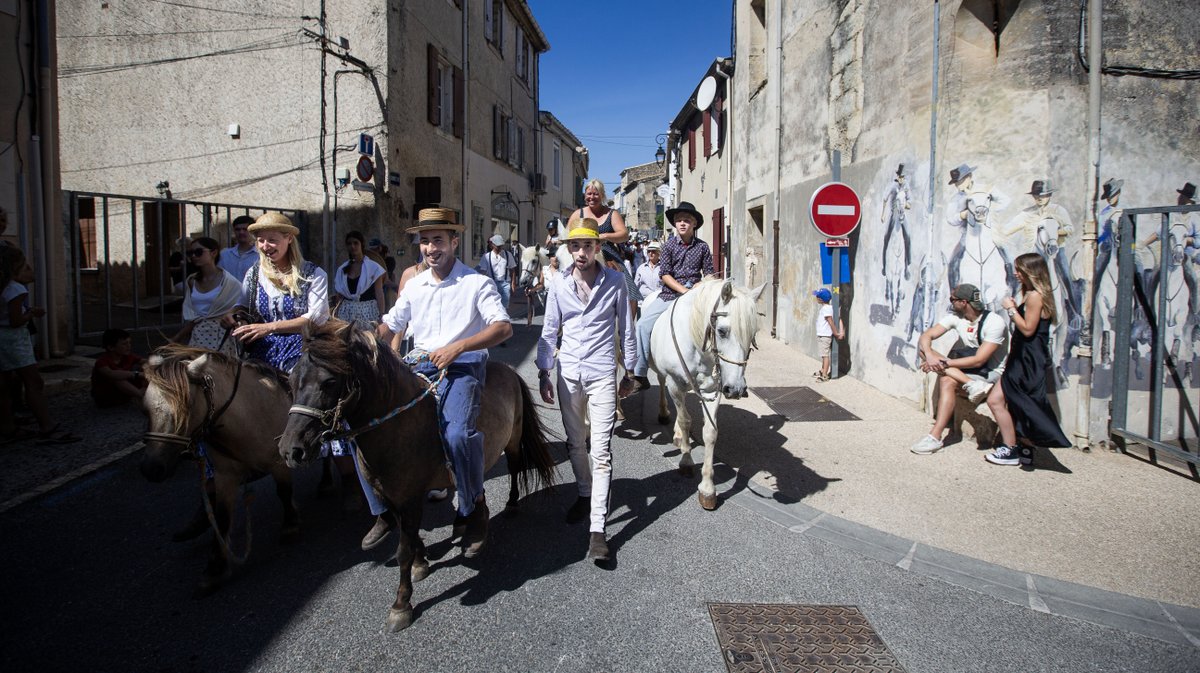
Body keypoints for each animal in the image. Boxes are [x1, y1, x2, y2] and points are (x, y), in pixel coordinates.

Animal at [140, 345, 297, 592]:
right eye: (144, 410)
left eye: (186, 407)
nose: (151, 468)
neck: (248, 414)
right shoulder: (225, 475)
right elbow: (222, 516)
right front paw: (214, 568)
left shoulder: (279, 462)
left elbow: (284, 492)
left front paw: (290, 526)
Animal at [279, 319, 556, 628]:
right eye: (290, 379)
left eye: (329, 381)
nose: (291, 450)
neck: (398, 426)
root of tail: (509, 370)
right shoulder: (392, 495)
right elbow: (408, 536)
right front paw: (421, 561)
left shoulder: (410, 499)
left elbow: (403, 551)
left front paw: (401, 605)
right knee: (472, 485)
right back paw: (465, 522)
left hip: (512, 442)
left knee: (512, 470)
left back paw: (505, 509)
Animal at [648, 278, 768, 508]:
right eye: (721, 331)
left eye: (753, 333)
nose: (736, 389)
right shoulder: (675, 383)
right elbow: (685, 420)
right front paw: (686, 462)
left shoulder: (713, 389)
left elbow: (710, 432)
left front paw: (707, 489)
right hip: (662, 374)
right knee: (662, 384)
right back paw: (664, 414)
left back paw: (677, 435)